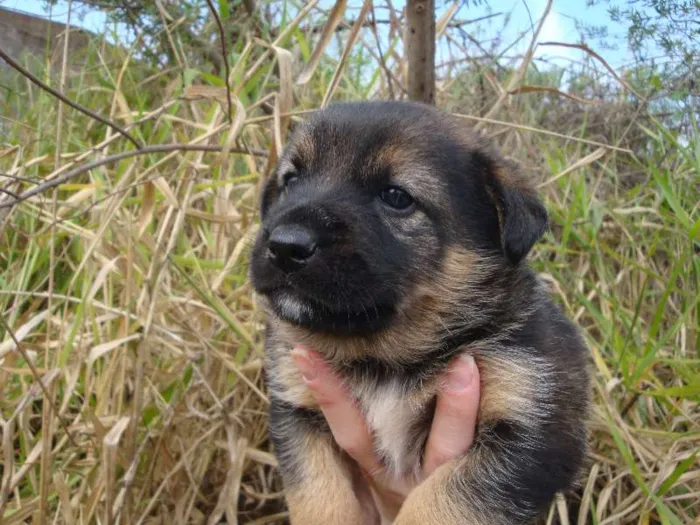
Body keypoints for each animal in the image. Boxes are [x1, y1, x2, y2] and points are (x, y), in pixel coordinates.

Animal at [252, 100, 592, 520]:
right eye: (291, 179)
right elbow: (319, 496)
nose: (285, 246)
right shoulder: (296, 407)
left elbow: (444, 498)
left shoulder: (534, 418)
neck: (385, 362)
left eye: (396, 196)